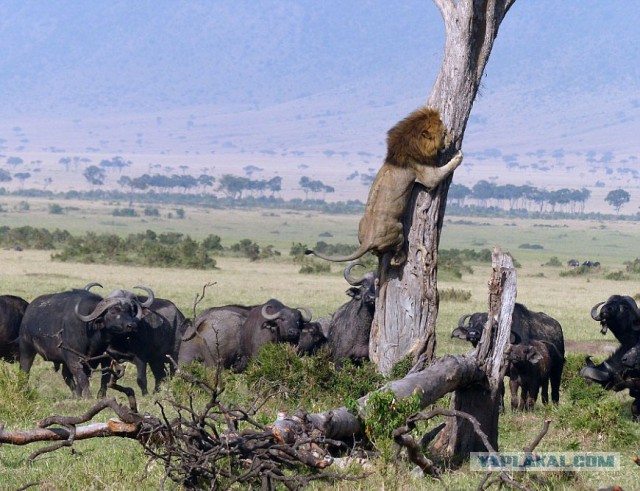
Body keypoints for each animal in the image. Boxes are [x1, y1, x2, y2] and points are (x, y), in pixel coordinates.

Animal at [306, 107, 463, 266]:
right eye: (444, 133)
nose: (452, 137)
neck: (409, 145)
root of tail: (367, 240)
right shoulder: (426, 174)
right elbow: (444, 170)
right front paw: (458, 155)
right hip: (398, 229)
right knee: (396, 254)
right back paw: (404, 257)